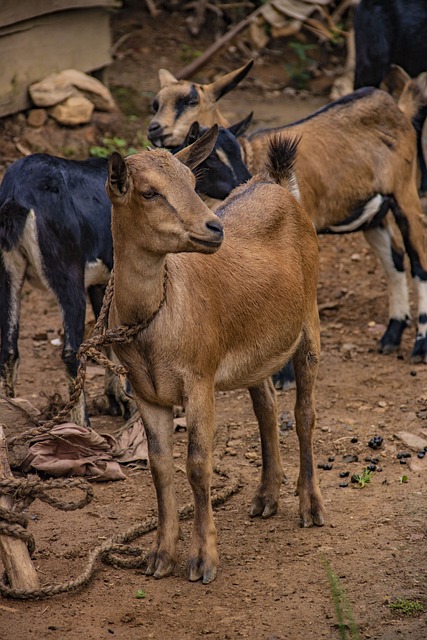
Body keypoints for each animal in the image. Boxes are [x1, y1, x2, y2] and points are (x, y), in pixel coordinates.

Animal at [107, 126, 324, 584]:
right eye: (149, 192)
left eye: (193, 181)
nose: (214, 227)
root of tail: (277, 184)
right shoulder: (146, 392)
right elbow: (159, 466)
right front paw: (159, 556)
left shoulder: (199, 378)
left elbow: (197, 464)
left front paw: (203, 560)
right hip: (257, 349)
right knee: (266, 405)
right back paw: (265, 496)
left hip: (309, 321)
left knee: (304, 412)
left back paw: (310, 505)